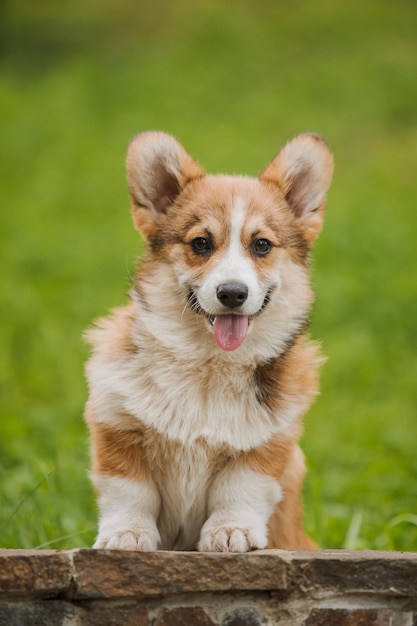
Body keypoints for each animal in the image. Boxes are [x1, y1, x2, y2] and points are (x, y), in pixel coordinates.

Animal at [83, 132, 332, 552]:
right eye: (201, 243)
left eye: (262, 245)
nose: (232, 293)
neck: (209, 362)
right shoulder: (116, 424)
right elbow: (130, 490)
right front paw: (126, 534)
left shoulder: (268, 443)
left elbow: (239, 488)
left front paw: (231, 531)